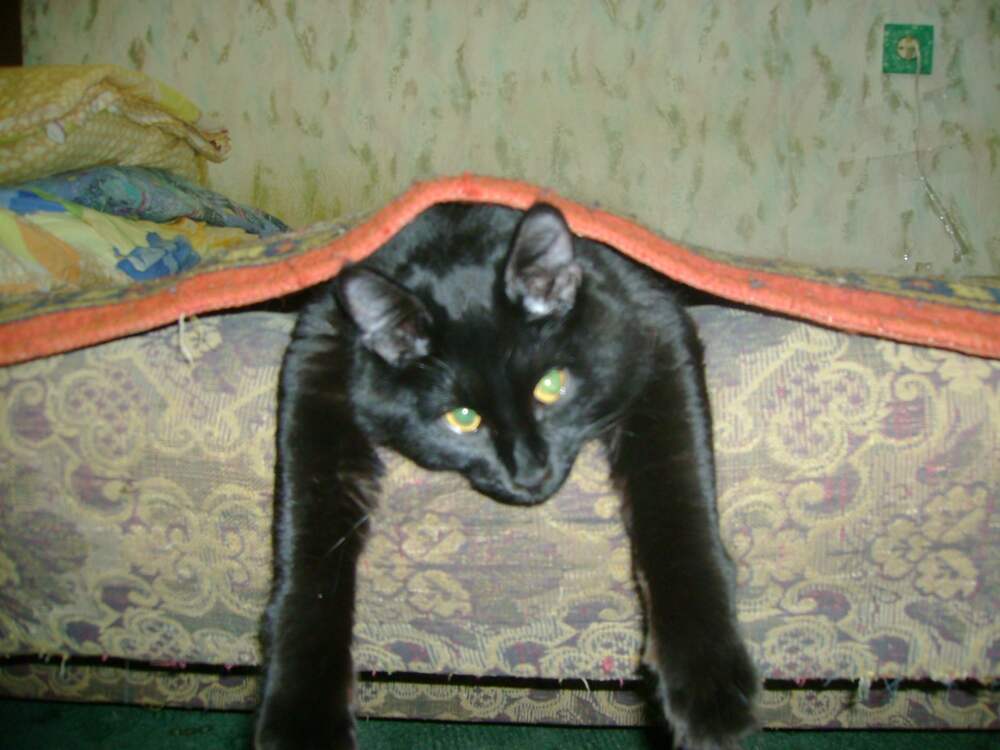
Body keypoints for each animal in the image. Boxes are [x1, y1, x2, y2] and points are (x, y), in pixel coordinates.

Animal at [254, 202, 757, 749]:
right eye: (462, 418)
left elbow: (676, 501)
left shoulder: (651, 328)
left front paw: (708, 686)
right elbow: (307, 545)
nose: (529, 472)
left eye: (551, 386)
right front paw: (304, 720)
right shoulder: (318, 360)